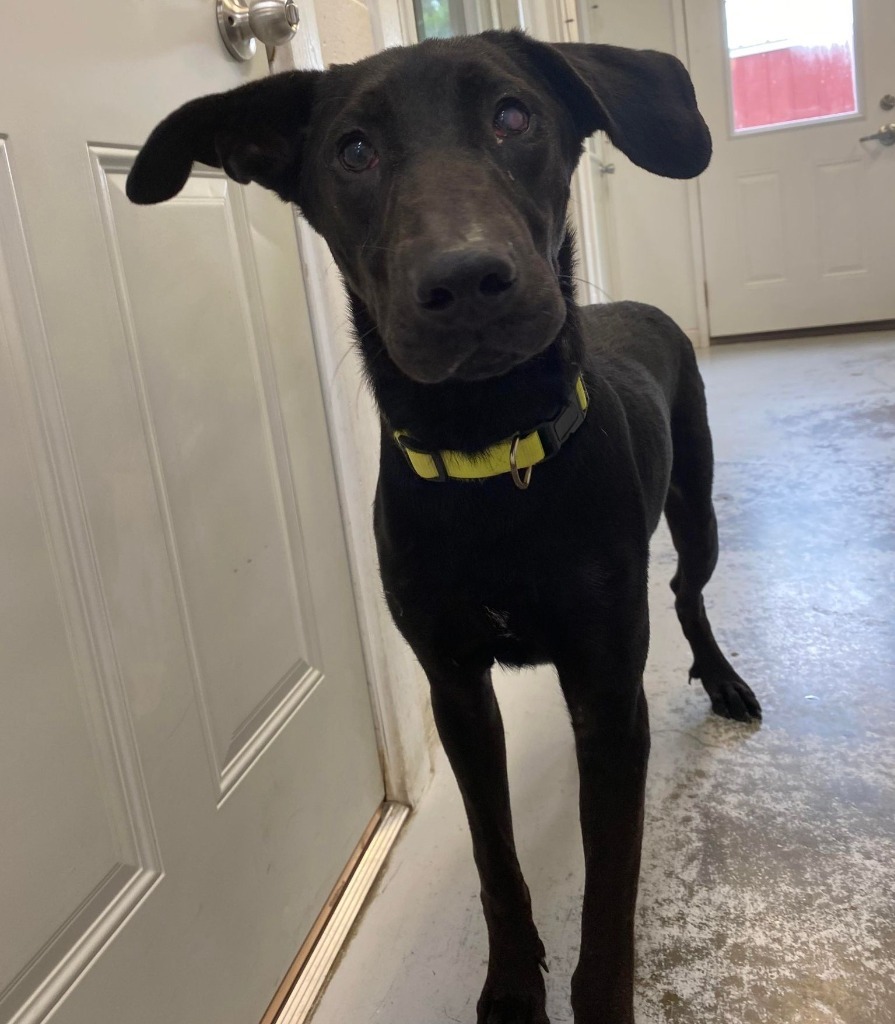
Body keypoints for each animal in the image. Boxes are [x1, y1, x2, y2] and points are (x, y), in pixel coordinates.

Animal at [129, 32, 761, 1024]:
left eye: (514, 115)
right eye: (352, 150)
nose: (465, 281)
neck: (488, 462)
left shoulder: (606, 696)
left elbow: (608, 894)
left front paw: (595, 995)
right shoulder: (454, 689)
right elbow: (492, 857)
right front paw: (509, 987)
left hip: (694, 512)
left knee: (685, 591)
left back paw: (722, 677)